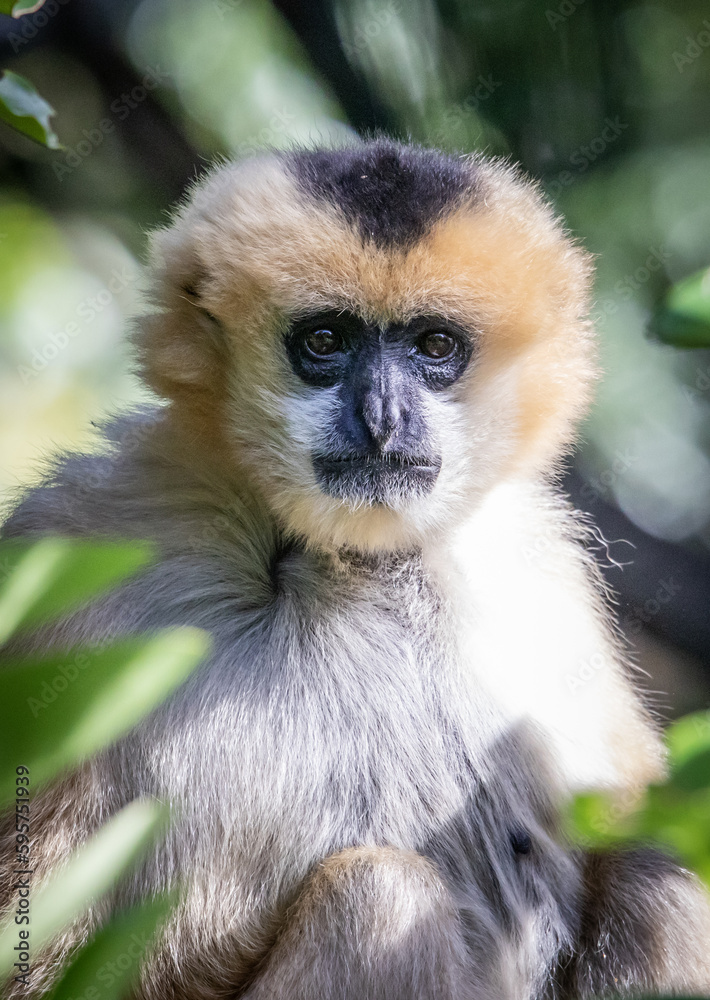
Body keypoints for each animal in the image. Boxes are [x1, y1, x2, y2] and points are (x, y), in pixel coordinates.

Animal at [2, 138, 710, 1000]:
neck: (331, 563)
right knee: (378, 890)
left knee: (656, 870)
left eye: (434, 348)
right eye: (324, 342)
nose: (381, 417)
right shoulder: (89, 529)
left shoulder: (530, 559)